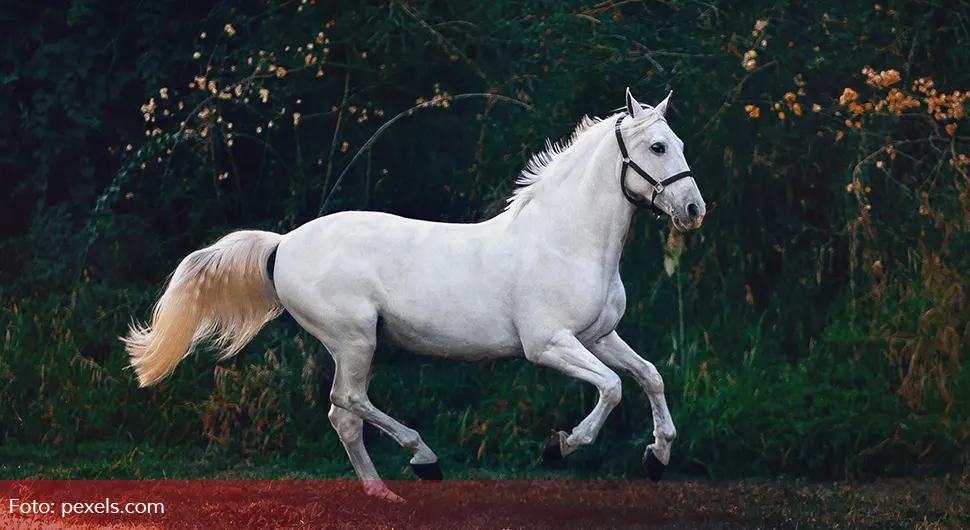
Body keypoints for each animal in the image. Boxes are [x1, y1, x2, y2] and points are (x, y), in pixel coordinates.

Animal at [125, 87, 708, 500]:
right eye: (657, 146)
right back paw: (423, 461)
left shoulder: (598, 336)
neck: (566, 240)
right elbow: (611, 388)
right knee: (348, 403)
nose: (693, 210)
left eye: (680, 145)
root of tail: (283, 243)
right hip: (354, 339)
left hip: (355, 344)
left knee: (344, 416)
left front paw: (656, 458)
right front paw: (559, 447)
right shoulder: (548, 345)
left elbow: (649, 376)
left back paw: (385, 493)